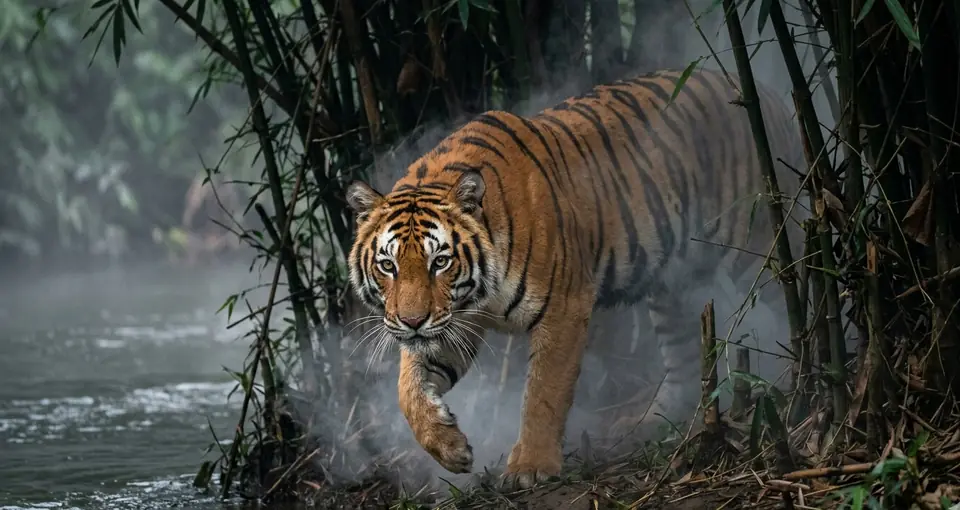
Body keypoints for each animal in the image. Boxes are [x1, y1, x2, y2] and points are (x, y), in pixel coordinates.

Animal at [344, 67, 805, 489]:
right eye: (388, 266)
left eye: (439, 262)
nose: (411, 322)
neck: (477, 293)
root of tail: (761, 91)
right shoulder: (454, 322)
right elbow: (408, 390)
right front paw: (449, 447)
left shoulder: (562, 307)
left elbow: (543, 392)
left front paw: (530, 465)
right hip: (671, 284)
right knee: (683, 358)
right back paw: (648, 420)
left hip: (757, 244)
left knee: (792, 296)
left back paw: (793, 383)